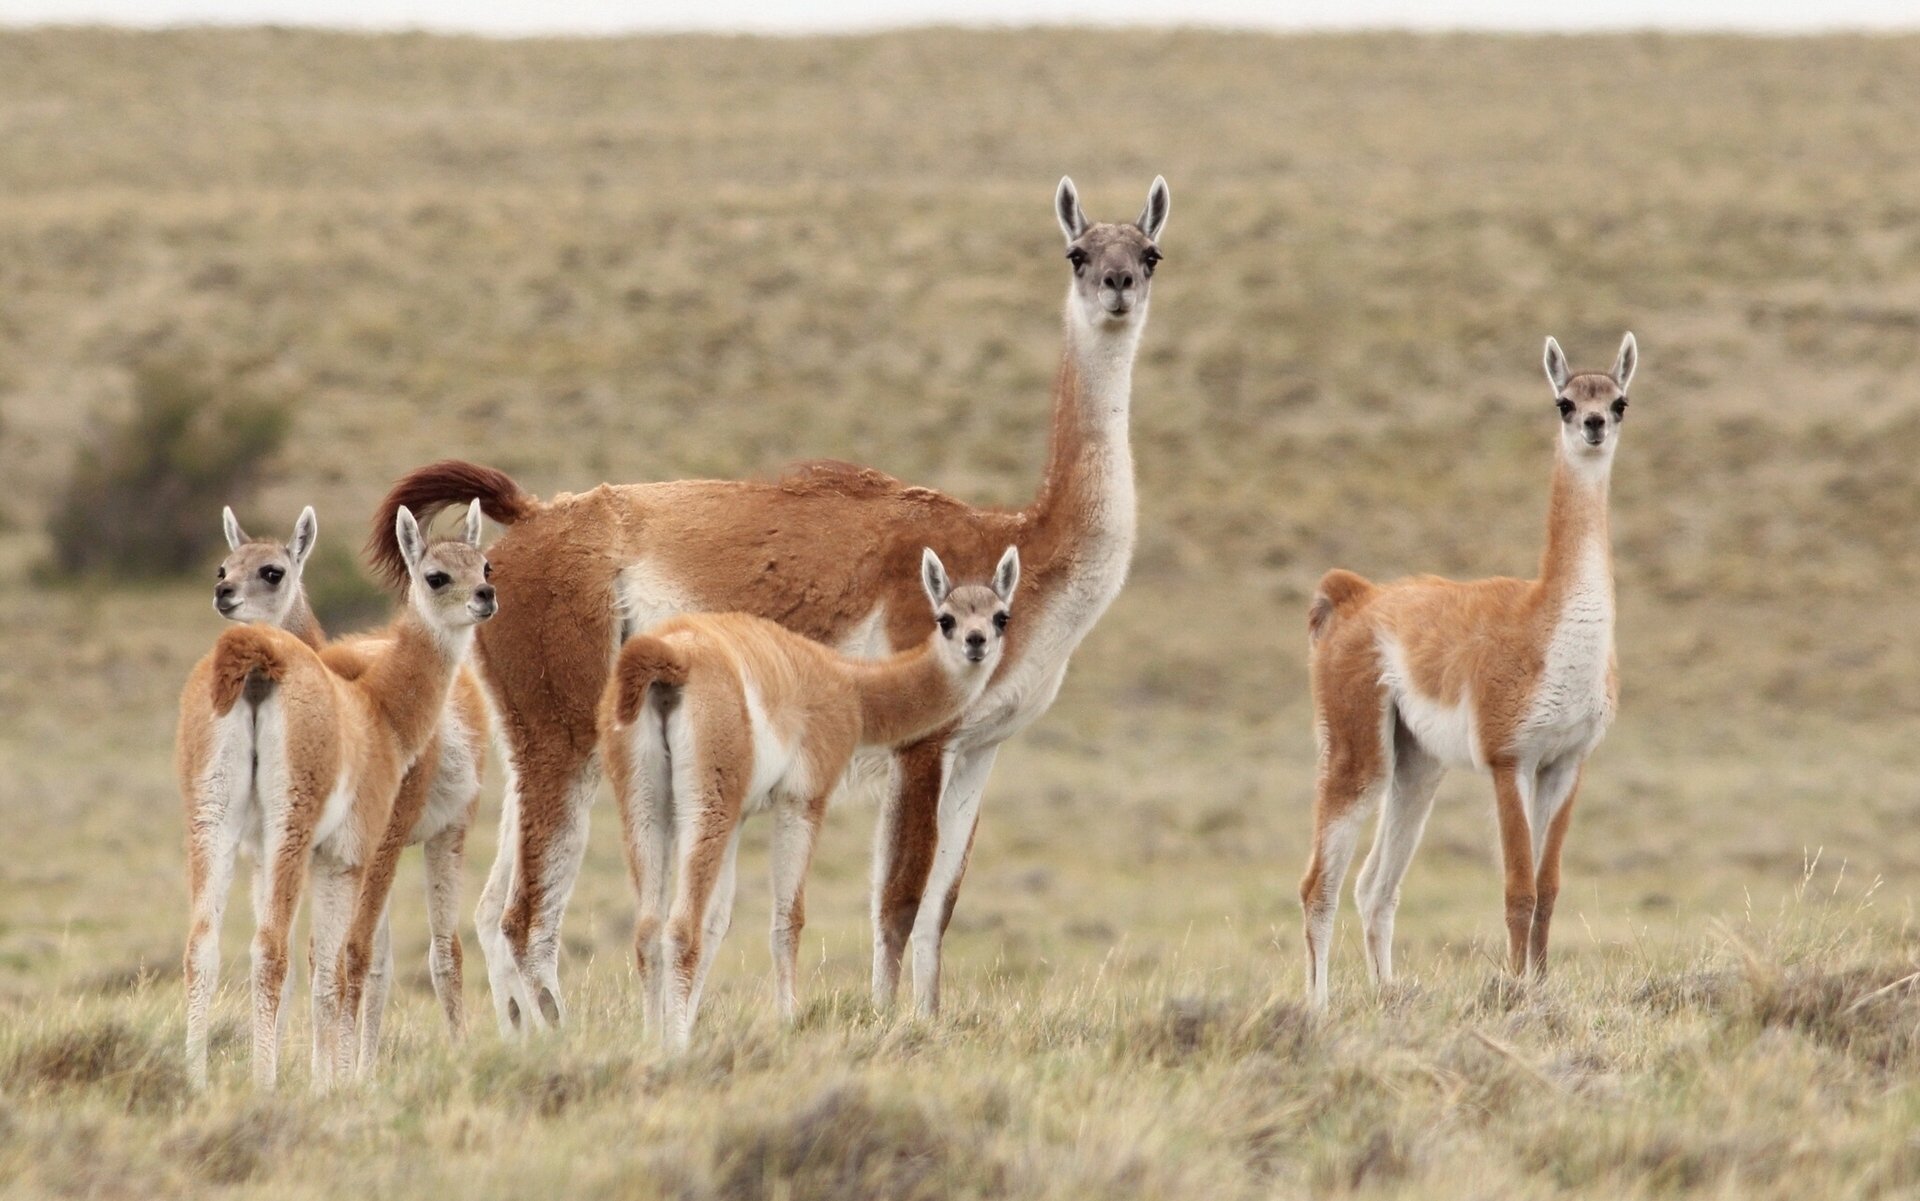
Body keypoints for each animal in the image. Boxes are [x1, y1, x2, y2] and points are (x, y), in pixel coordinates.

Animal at [181, 498, 495, 1082]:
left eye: (486, 566)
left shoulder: (301, 852)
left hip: (215, 814)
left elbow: (330, 962)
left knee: (205, 946)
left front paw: (326, 1073)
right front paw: (329, 1078)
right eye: (223, 567)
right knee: (339, 953)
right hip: (329, 828)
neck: (380, 705)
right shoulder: (345, 849)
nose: (486, 596)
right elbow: (335, 961)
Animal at [599, 544, 1021, 1043]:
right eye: (946, 619)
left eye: (1000, 616)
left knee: (648, 929)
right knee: (681, 928)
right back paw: (677, 1048)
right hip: (707, 801)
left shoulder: (742, 815)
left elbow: (720, 920)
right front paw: (787, 1022)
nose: (976, 642)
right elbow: (789, 918)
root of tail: (670, 656)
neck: (853, 687)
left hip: (646, 802)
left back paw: (651, 1041)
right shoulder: (804, 799)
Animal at [1297, 331, 1628, 1005]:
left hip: (1416, 765)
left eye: (1619, 401)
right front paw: (1517, 991)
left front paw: (1540, 985)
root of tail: (1355, 596)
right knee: (1319, 884)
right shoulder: (1508, 756)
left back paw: (1389, 995)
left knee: (1375, 886)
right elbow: (1518, 889)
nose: (1594, 425)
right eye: (1564, 402)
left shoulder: (1566, 761)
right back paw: (1316, 1009)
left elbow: (1549, 888)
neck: (1546, 628)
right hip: (1354, 745)